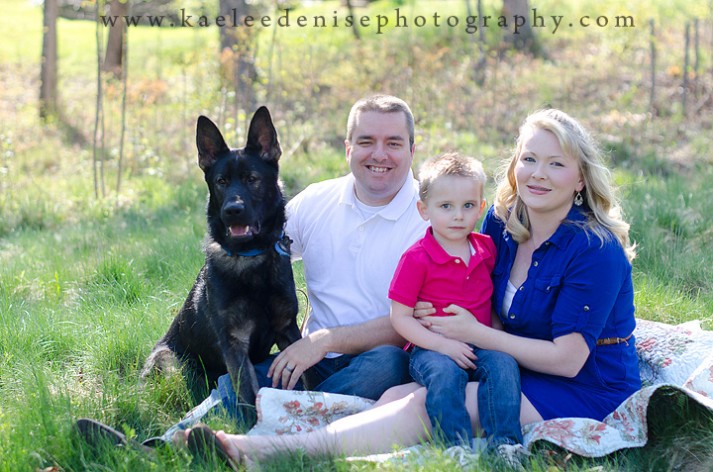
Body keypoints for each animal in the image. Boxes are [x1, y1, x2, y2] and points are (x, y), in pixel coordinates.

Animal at [142, 106, 300, 406]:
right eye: (221, 182)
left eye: (252, 179)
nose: (232, 210)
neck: (250, 259)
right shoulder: (235, 344)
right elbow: (249, 398)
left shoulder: (288, 330)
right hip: (171, 366)